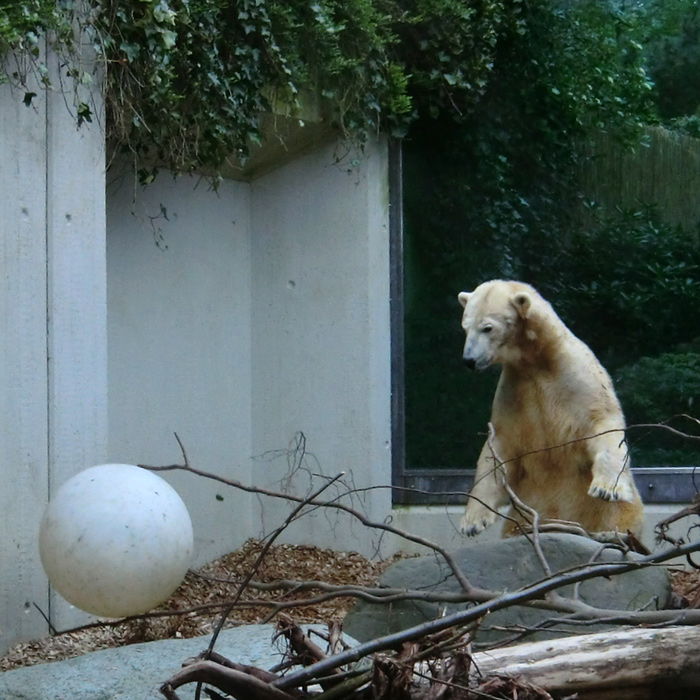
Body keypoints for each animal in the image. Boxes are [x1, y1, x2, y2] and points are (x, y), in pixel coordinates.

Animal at [456, 278, 644, 536]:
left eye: (488, 327)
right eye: (465, 327)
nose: (469, 360)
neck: (538, 359)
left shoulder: (575, 376)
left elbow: (602, 422)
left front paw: (606, 488)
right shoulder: (515, 390)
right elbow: (499, 447)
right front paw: (472, 521)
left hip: (608, 510)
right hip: (525, 511)